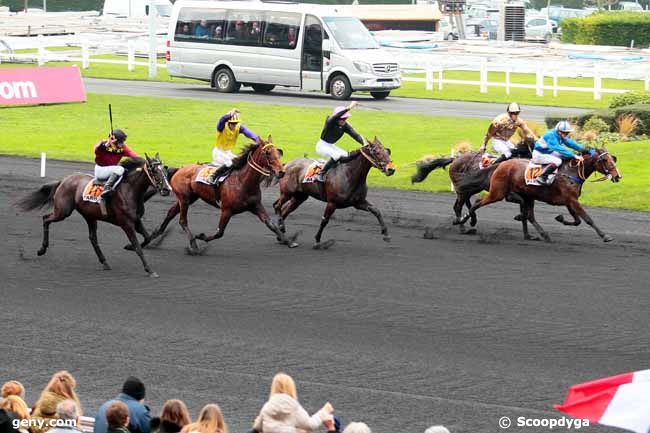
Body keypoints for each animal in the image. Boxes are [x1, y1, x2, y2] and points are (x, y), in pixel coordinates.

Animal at [16, 154, 171, 276]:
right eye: (154, 171)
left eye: (165, 170)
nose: (167, 189)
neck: (130, 190)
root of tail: (64, 180)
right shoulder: (126, 223)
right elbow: (138, 246)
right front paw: (149, 269)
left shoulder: (136, 220)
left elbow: (147, 238)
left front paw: (129, 247)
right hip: (63, 211)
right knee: (46, 219)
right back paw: (41, 250)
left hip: (89, 216)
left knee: (92, 238)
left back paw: (104, 262)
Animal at [144, 134, 296, 250]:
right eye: (267, 153)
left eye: (278, 152)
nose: (281, 171)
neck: (242, 182)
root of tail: (179, 169)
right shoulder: (226, 210)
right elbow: (220, 232)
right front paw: (202, 237)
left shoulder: (256, 205)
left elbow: (271, 224)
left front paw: (288, 241)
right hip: (184, 199)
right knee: (182, 221)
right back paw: (193, 243)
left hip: (189, 198)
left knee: (170, 213)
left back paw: (154, 236)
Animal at [454, 148, 620, 243]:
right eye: (605, 160)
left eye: (613, 159)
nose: (618, 176)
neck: (570, 172)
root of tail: (500, 164)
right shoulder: (572, 200)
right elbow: (587, 219)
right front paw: (605, 236)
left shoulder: (569, 201)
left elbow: (577, 220)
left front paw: (560, 218)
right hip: (498, 192)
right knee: (477, 202)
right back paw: (466, 221)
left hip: (527, 196)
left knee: (529, 216)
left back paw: (537, 235)